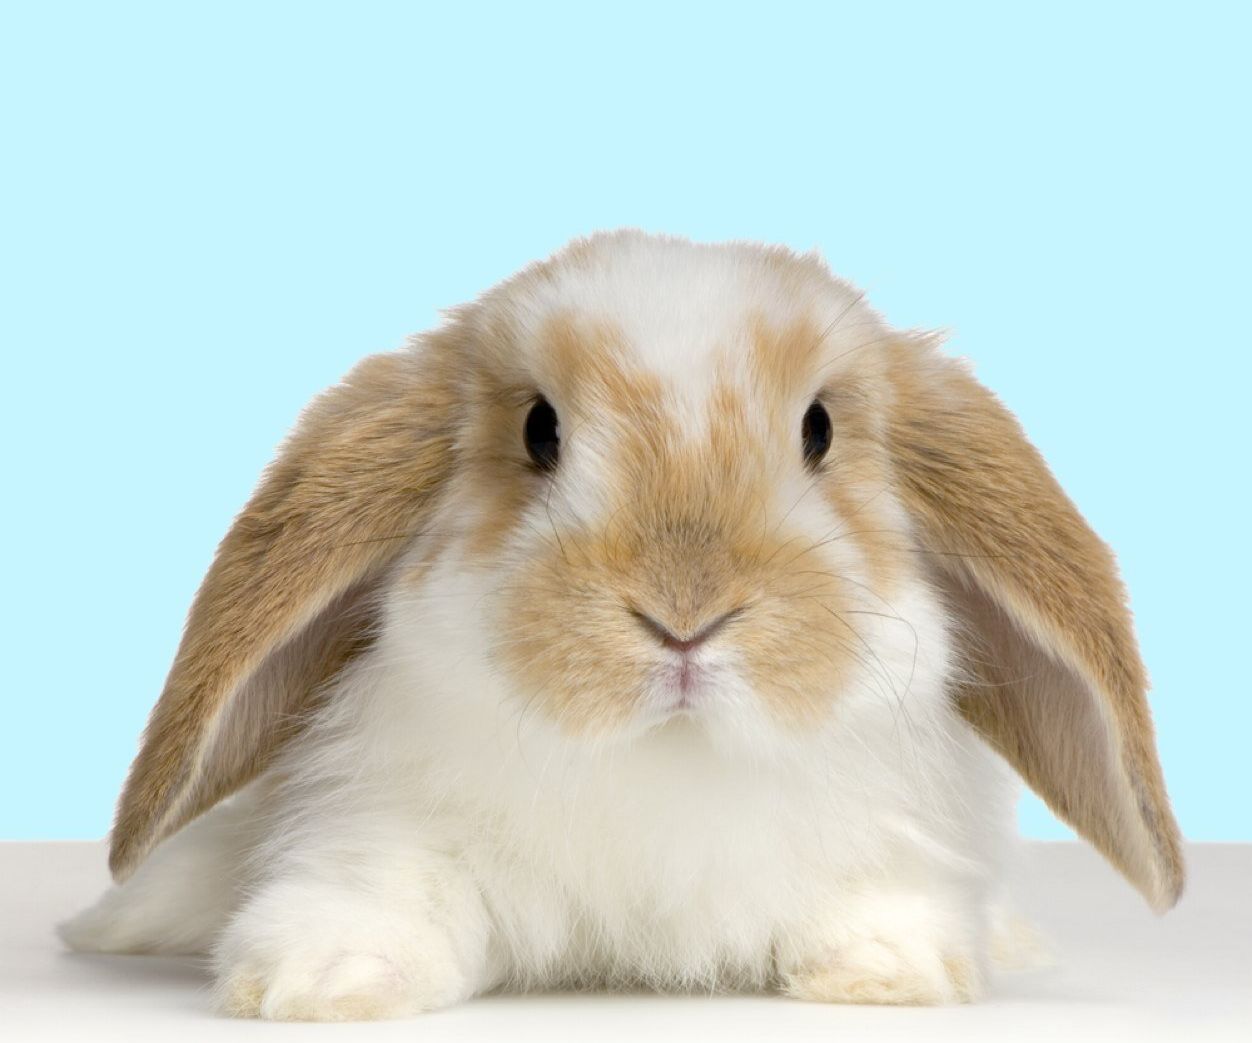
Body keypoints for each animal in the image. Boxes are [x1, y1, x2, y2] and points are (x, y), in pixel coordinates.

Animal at [60, 230, 1183, 1020]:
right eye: (538, 429)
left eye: (819, 428)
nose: (684, 613)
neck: (666, 759)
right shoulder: (380, 823)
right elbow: (379, 891)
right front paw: (325, 980)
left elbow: (878, 904)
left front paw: (882, 970)